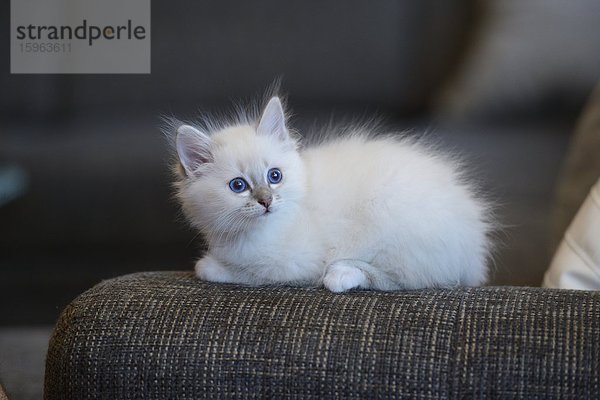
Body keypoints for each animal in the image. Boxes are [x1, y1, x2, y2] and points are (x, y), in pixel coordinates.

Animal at [170, 95, 492, 292]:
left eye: (275, 176)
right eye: (238, 186)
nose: (266, 201)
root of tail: (474, 251)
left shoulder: (295, 264)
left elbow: (246, 273)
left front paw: (208, 265)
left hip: (393, 225)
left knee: (403, 280)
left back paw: (341, 275)